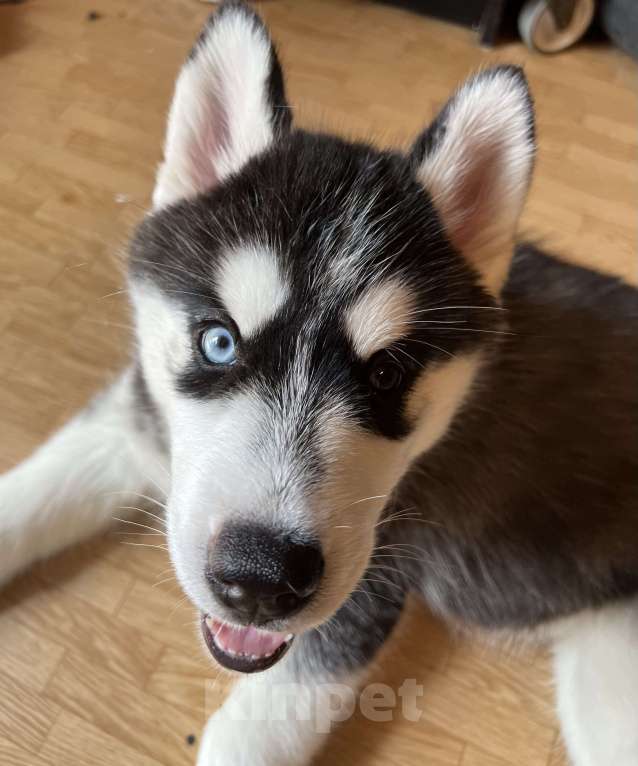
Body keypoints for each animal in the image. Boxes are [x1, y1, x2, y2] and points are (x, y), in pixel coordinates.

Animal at [1, 1, 638, 766]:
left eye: (387, 373)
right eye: (218, 341)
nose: (260, 579)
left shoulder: (368, 587)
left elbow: (245, 737)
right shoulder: (135, 423)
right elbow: (26, 499)